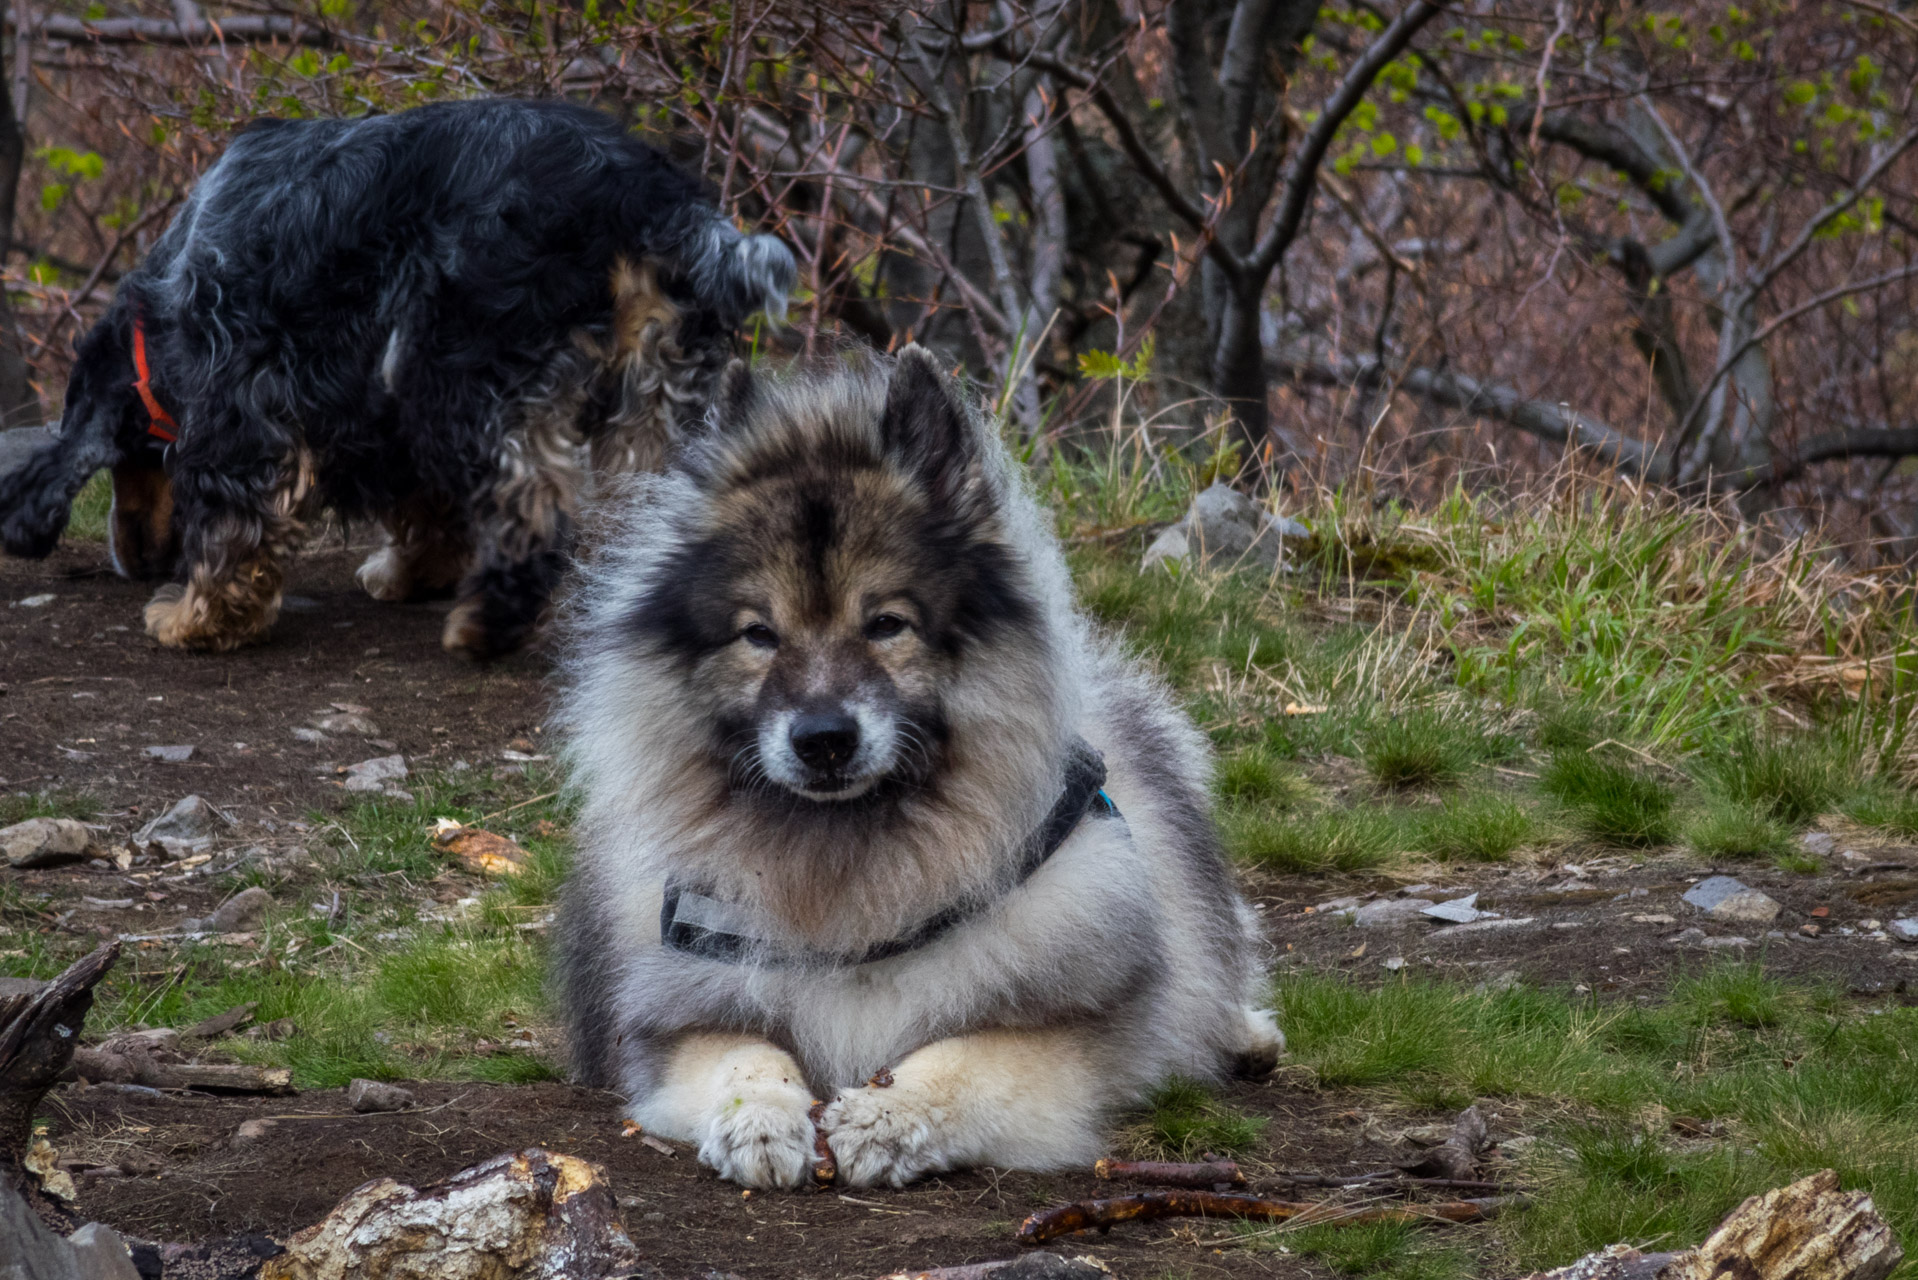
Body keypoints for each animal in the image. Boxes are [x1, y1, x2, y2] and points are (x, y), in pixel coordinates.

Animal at [0, 98, 790, 656]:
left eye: (131, 460)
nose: (132, 560)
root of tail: (643, 190)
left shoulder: (244, 391)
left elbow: (236, 525)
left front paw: (195, 619)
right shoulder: (371, 408)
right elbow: (426, 504)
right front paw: (415, 572)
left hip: (455, 370)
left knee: (529, 503)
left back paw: (488, 627)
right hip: (657, 391)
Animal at [552, 345, 1273, 1189]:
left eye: (887, 624)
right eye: (759, 635)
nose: (823, 738)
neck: (849, 868)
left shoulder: (1070, 1030)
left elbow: (967, 1061)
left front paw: (887, 1117)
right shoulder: (675, 1013)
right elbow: (741, 1055)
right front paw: (759, 1120)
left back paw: (1247, 1033)